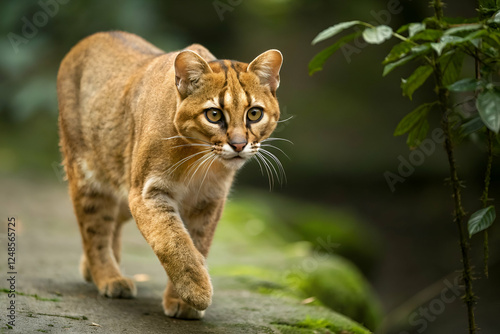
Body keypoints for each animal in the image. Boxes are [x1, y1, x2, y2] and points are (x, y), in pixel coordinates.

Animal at [57, 31, 284, 318]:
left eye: (254, 113)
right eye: (214, 114)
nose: (239, 144)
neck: (200, 160)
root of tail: (94, 36)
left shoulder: (208, 200)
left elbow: (198, 242)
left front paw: (182, 301)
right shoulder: (147, 191)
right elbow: (173, 241)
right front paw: (197, 290)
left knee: (111, 223)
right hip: (89, 175)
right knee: (94, 230)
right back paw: (110, 277)